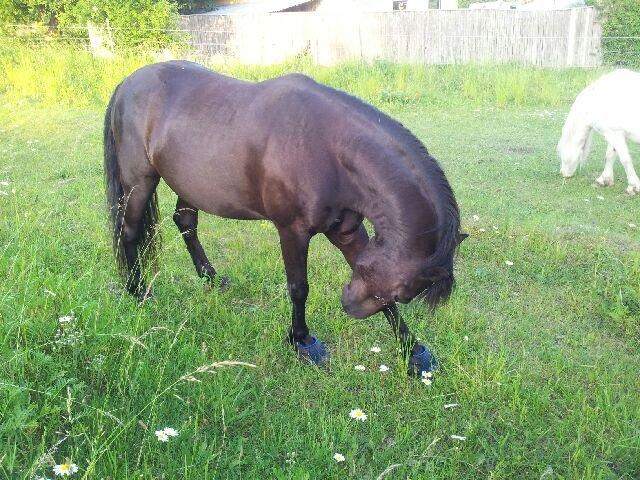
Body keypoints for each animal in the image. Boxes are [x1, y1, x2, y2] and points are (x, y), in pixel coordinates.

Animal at [104, 60, 464, 376]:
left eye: (404, 293)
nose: (348, 305)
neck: (329, 151)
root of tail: (126, 83)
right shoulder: (292, 230)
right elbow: (299, 287)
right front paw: (302, 342)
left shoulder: (348, 231)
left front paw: (414, 352)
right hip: (139, 181)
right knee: (130, 230)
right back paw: (137, 291)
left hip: (189, 183)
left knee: (185, 222)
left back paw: (210, 278)